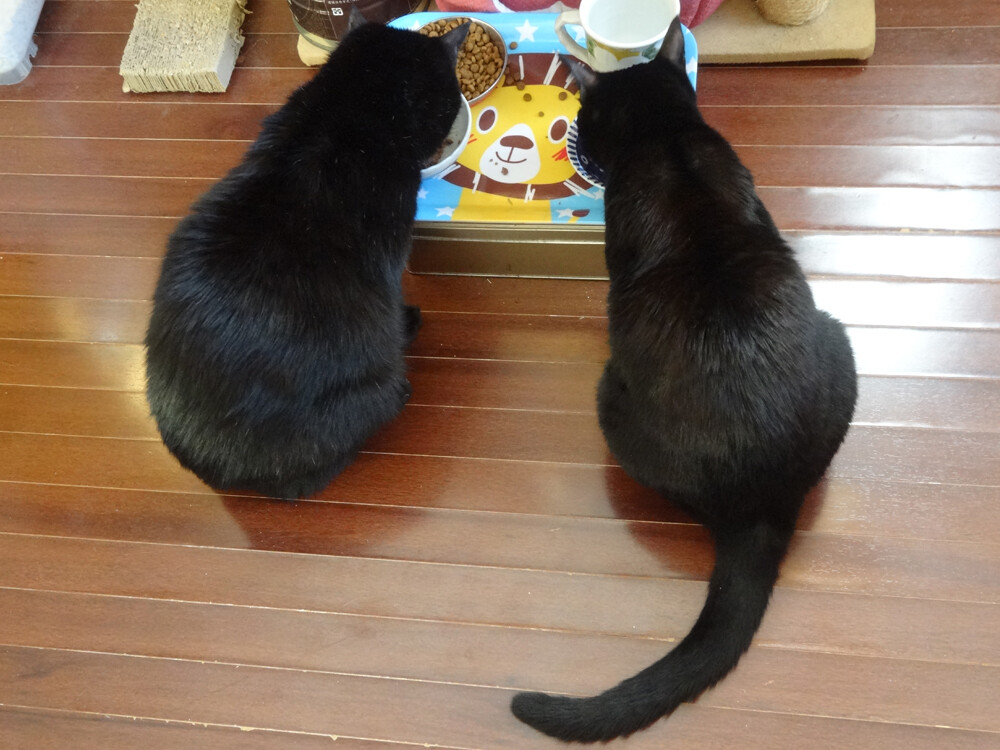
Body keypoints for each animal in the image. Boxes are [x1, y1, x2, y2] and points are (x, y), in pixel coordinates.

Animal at [511, 18, 858, 742]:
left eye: (582, 121)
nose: (583, 150)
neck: (663, 134)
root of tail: (761, 507)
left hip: (610, 404)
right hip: (841, 346)